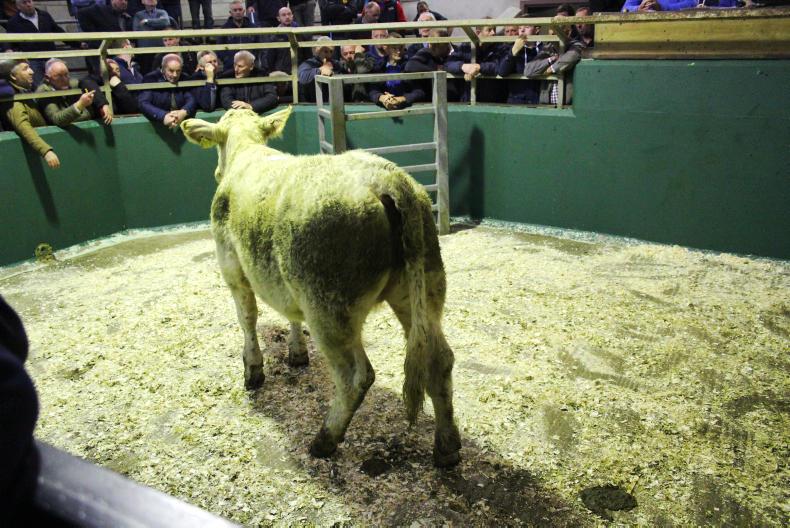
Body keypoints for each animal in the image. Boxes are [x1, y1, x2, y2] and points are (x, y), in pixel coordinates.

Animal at [180, 107, 461, 467]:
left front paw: (253, 371)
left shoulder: (232, 266)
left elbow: (248, 319)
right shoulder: (283, 281)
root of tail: (385, 179)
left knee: (357, 376)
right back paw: (447, 447)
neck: (247, 152)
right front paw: (297, 354)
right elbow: (289, 314)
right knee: (440, 360)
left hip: (329, 306)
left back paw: (324, 439)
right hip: (424, 287)